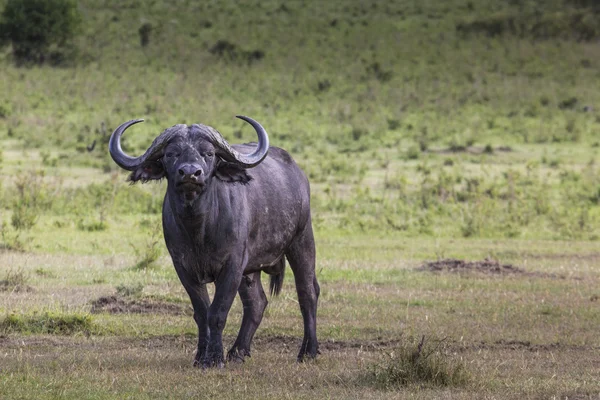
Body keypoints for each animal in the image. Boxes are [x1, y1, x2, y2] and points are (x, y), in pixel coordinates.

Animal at [110, 116, 322, 368]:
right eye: (171, 153)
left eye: (208, 153)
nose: (190, 173)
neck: (199, 230)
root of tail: (298, 173)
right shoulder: (183, 267)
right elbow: (201, 312)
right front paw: (201, 356)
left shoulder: (232, 265)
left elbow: (218, 312)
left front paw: (214, 358)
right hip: (251, 269)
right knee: (257, 303)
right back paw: (238, 351)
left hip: (302, 240)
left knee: (307, 292)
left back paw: (308, 351)